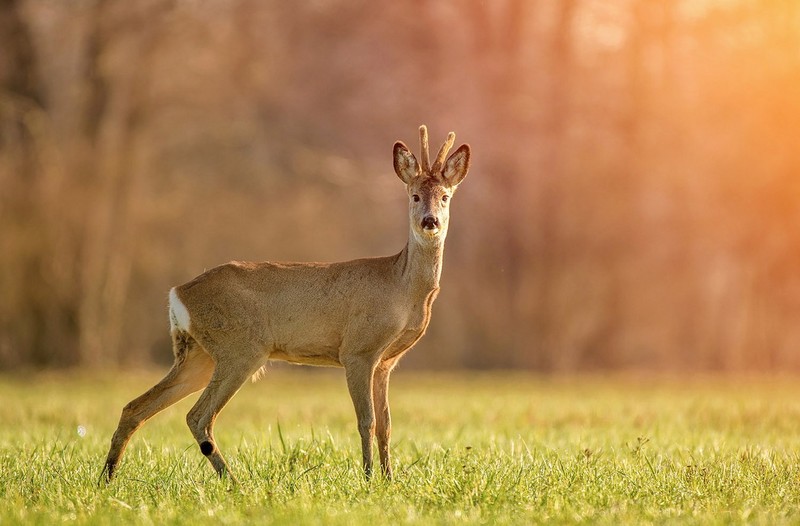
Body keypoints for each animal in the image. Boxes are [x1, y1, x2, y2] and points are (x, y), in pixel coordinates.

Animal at [100, 125, 468, 486]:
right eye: (414, 196)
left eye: (445, 197)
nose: (430, 221)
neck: (401, 287)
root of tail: (177, 293)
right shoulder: (358, 350)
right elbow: (368, 421)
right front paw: (367, 480)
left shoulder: (386, 363)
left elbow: (387, 426)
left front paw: (389, 480)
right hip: (240, 347)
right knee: (197, 415)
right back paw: (234, 482)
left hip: (199, 354)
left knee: (135, 407)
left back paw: (107, 479)